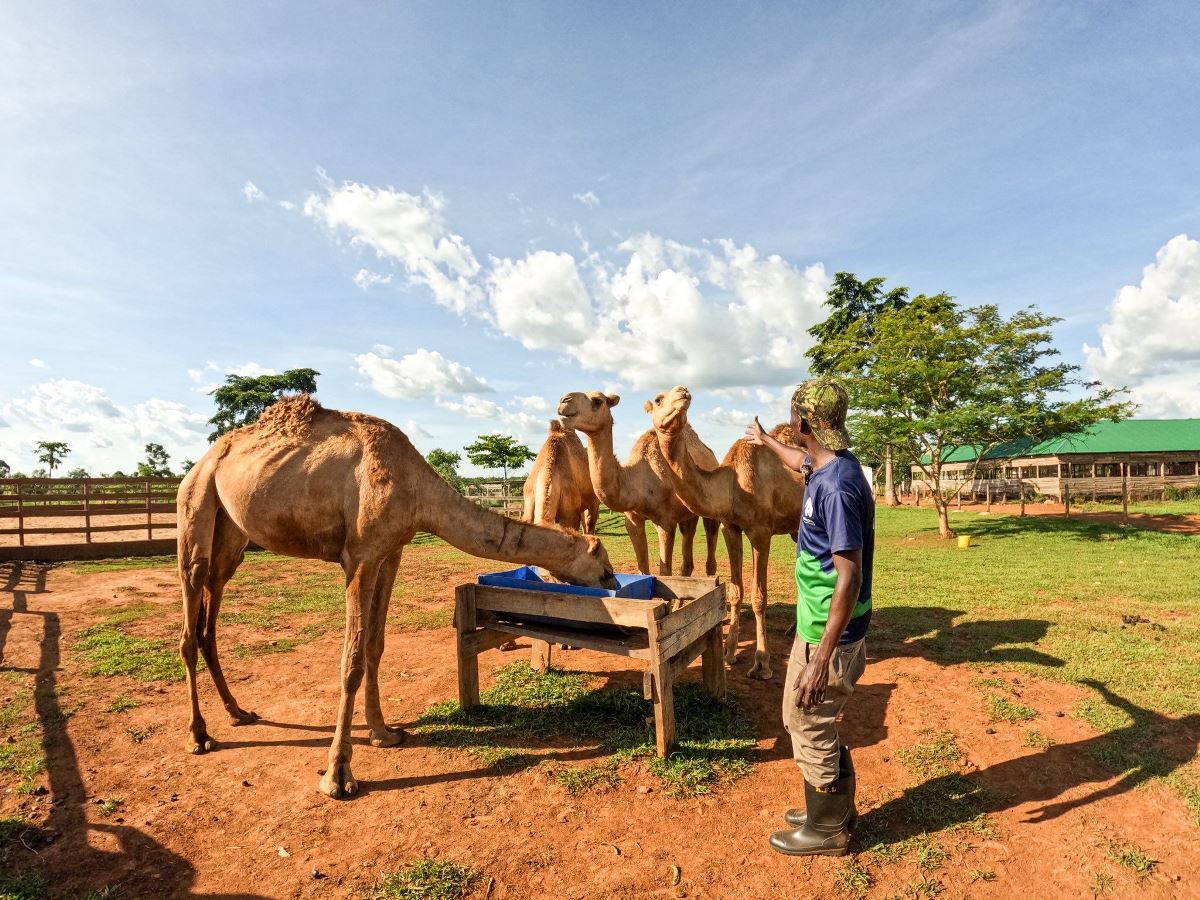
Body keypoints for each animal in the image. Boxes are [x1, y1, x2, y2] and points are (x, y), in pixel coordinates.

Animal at [176, 395, 616, 799]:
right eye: (604, 565)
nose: (612, 582)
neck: (418, 493)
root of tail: (201, 462)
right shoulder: (360, 557)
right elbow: (351, 660)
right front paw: (338, 775)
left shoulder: (391, 552)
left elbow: (375, 645)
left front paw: (383, 733)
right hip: (195, 505)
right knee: (190, 612)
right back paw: (199, 736)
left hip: (231, 533)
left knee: (212, 605)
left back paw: (238, 712)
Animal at [557, 391, 719, 577]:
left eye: (598, 401)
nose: (564, 400)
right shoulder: (632, 519)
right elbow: (643, 567)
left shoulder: (666, 521)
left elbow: (665, 571)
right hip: (688, 514)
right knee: (688, 547)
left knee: (711, 542)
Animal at [648, 385, 805, 680]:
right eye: (658, 399)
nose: (684, 391)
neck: (732, 485)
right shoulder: (729, 527)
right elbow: (735, 590)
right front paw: (730, 652)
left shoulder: (760, 531)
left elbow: (758, 596)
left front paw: (761, 664)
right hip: (797, 528)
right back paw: (794, 629)